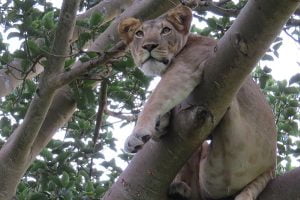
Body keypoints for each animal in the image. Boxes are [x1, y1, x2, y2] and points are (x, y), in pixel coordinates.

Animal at [118, 4, 276, 200]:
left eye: (166, 30)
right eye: (139, 33)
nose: (149, 46)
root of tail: (271, 167)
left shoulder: (185, 68)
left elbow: (155, 100)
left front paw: (138, 134)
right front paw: (161, 124)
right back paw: (179, 189)